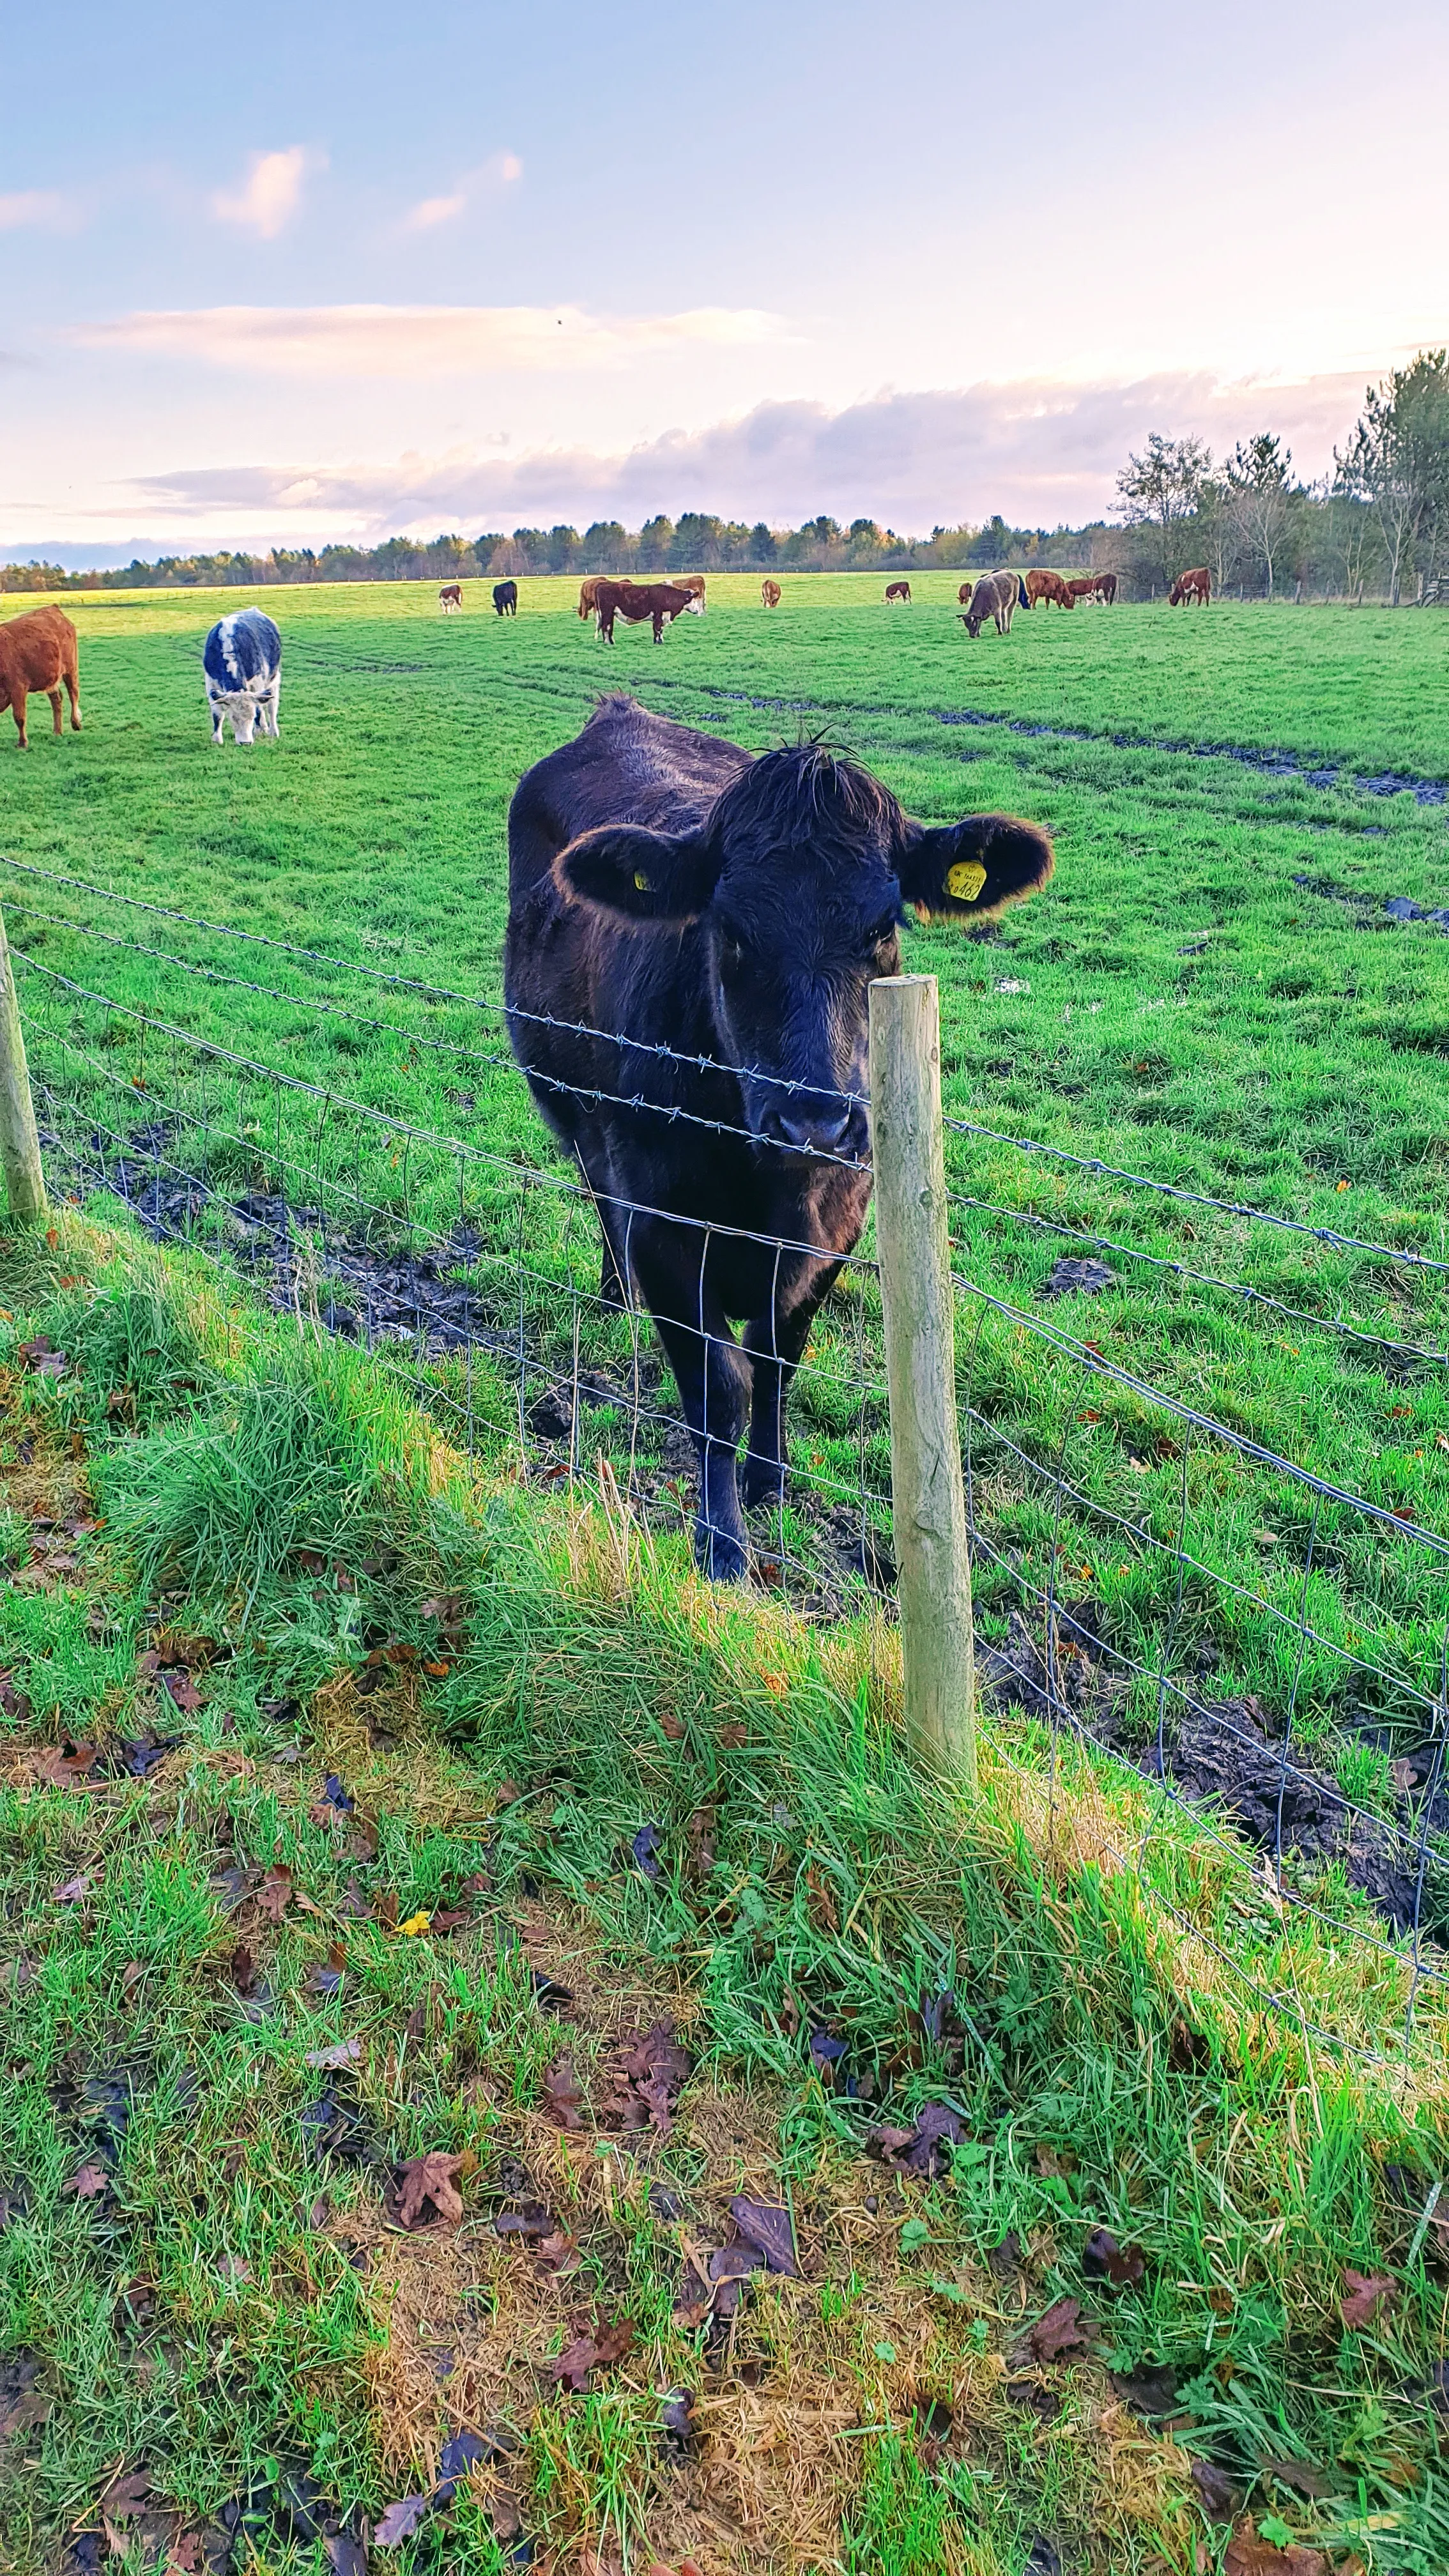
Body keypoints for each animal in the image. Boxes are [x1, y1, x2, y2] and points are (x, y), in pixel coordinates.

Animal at [0, 605, 82, 752]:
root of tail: (54, 608)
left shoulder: (18, 689)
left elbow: (19, 717)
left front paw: (22, 743)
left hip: (71, 669)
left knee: (73, 694)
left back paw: (76, 723)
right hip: (52, 678)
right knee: (57, 699)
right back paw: (57, 731)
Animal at [199, 608, 279, 752]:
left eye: (251, 717)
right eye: (233, 718)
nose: (245, 743)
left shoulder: (258, 681)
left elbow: (259, 709)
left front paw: (258, 730)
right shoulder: (211, 682)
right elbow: (217, 715)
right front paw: (217, 739)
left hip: (274, 679)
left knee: (271, 707)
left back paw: (272, 731)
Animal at [508, 695, 1046, 1576]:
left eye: (883, 926)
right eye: (728, 929)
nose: (813, 1121)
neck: (772, 1190)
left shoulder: (838, 1229)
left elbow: (774, 1357)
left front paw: (770, 1478)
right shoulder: (669, 1233)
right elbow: (717, 1389)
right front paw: (722, 1540)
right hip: (569, 1102)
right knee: (598, 1190)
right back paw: (615, 1294)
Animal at [588, 577, 701, 641]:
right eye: (691, 599)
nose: (697, 611)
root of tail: (602, 584)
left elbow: (658, 631)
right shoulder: (658, 616)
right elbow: (658, 630)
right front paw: (659, 643)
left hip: (609, 614)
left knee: (608, 628)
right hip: (606, 613)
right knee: (606, 628)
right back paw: (608, 643)